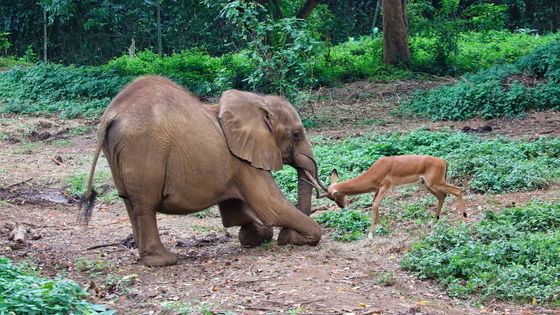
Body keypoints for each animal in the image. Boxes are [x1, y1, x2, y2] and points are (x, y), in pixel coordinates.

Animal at [78, 76, 324, 266]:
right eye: (296, 134)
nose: (288, 235)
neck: (256, 101)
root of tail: (112, 113)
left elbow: (236, 211)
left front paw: (258, 235)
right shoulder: (243, 162)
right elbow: (272, 208)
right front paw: (290, 236)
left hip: (118, 153)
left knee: (130, 202)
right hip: (143, 149)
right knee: (145, 204)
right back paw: (163, 260)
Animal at [322, 156, 466, 239]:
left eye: (333, 197)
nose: (342, 206)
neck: (376, 170)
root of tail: (443, 161)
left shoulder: (385, 187)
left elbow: (374, 205)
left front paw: (370, 235)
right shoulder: (378, 190)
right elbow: (375, 204)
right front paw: (381, 227)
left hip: (435, 183)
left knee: (458, 190)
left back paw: (463, 220)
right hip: (427, 185)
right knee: (443, 196)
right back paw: (434, 221)